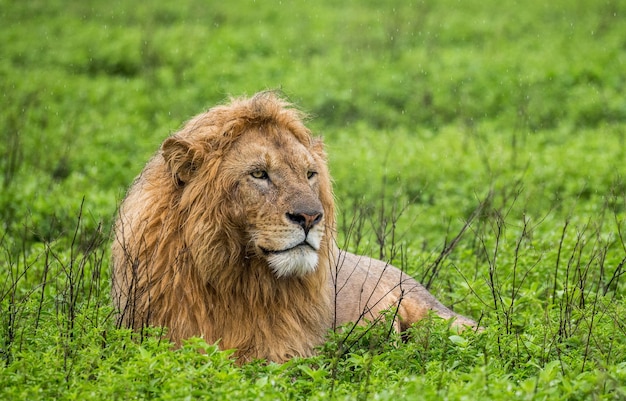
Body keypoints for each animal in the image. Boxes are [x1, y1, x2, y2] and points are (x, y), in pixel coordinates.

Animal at [111, 90, 472, 362]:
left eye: (309, 174)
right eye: (259, 174)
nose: (310, 218)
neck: (235, 281)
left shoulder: (286, 353)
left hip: (439, 318)